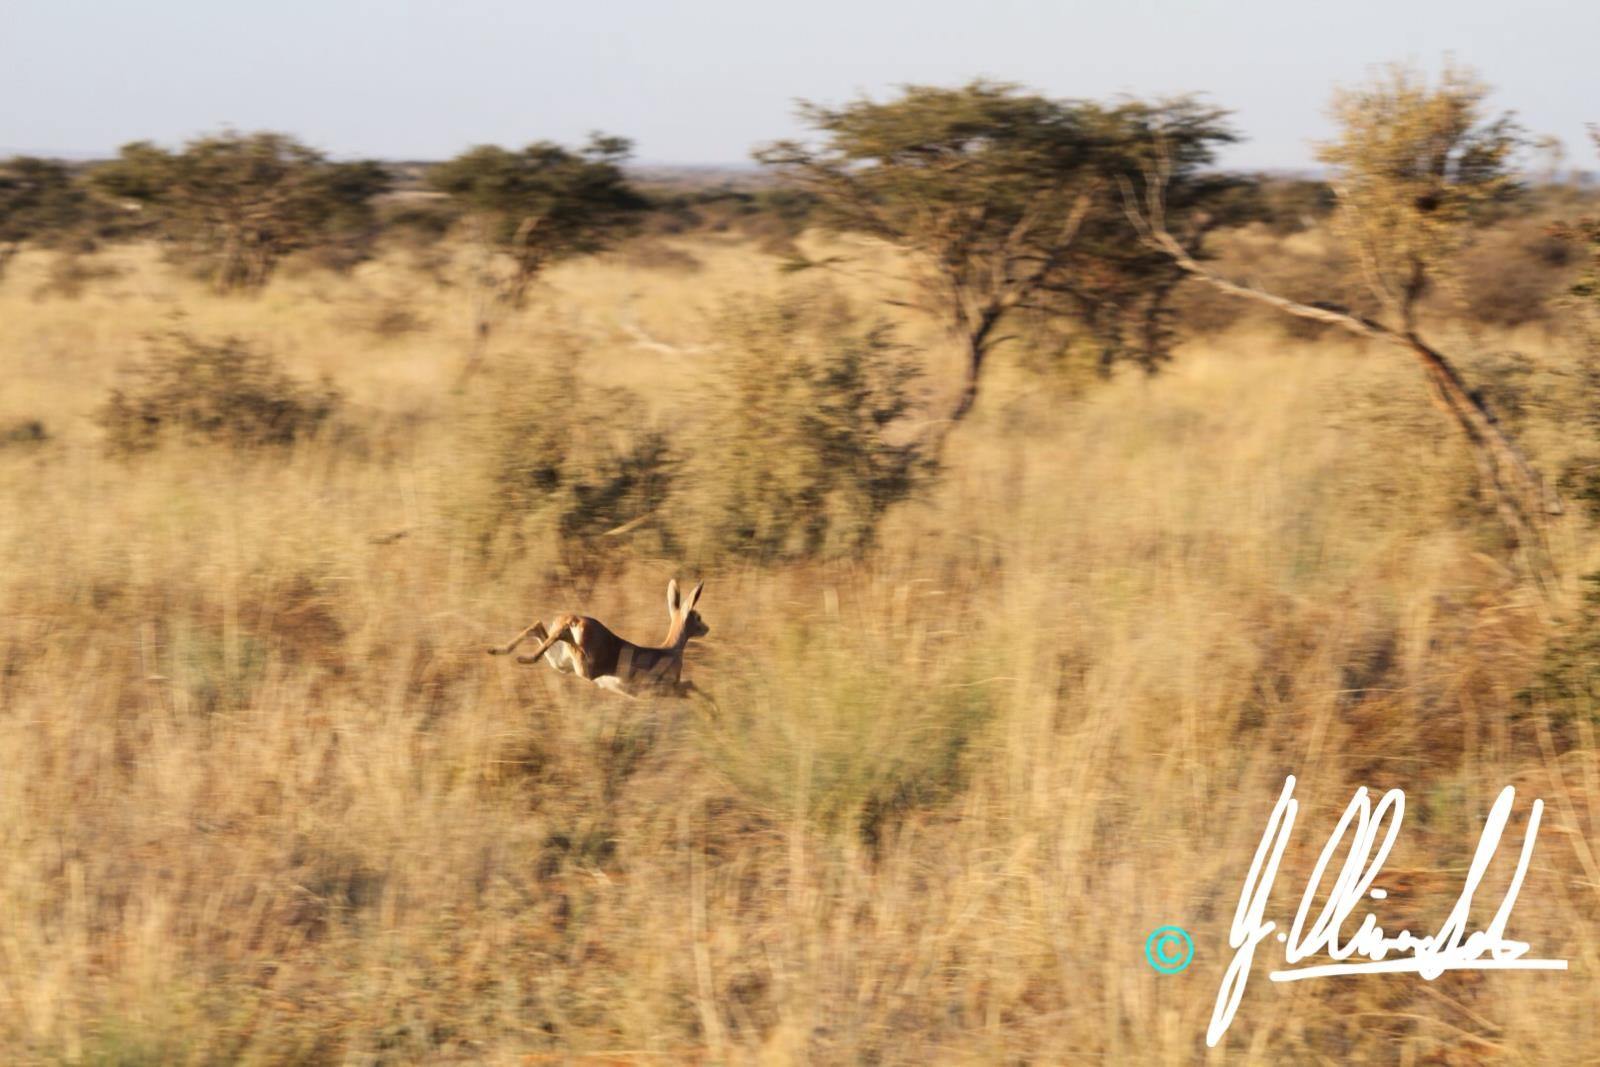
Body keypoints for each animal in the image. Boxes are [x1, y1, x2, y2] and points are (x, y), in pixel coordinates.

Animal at [483, 579, 710, 697]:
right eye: (698, 617)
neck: (671, 649)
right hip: (584, 668)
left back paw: (501, 651)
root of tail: (575, 620)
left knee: (538, 627)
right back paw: (522, 657)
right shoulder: (671, 688)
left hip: (563, 664)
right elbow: (694, 685)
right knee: (555, 633)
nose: (707, 628)